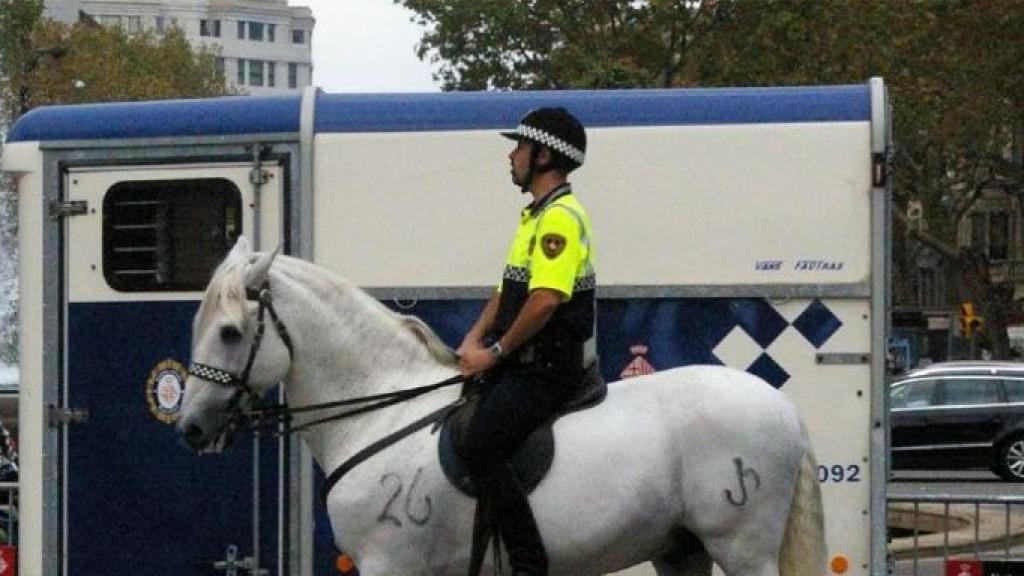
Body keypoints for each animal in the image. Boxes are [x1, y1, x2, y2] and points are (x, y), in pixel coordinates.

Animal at [177, 237, 825, 576]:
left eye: (230, 332)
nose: (191, 428)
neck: (381, 415)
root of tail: (785, 408)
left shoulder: (391, 565)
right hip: (681, 549)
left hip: (741, 548)